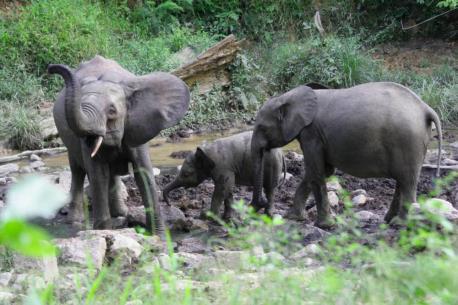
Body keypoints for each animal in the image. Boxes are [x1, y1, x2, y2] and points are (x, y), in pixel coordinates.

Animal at [49, 55, 191, 235]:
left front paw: (159, 235)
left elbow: (143, 173)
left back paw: (121, 213)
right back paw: (74, 221)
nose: (50, 68)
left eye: (112, 111)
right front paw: (103, 232)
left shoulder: (136, 127)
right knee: (78, 171)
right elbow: (98, 175)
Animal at [252, 81, 442, 228]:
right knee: (403, 180)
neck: (288, 97)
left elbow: (316, 172)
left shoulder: (311, 134)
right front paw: (292, 218)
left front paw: (325, 226)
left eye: (261, 127)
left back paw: (399, 224)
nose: (259, 206)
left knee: (408, 181)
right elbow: (321, 171)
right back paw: (388, 220)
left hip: (407, 141)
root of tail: (426, 108)